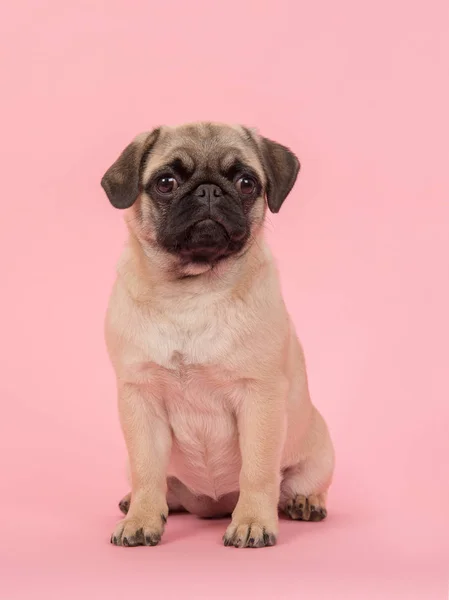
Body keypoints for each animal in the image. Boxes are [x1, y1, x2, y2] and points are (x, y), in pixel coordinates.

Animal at [100, 122, 332, 548]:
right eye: (166, 182)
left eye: (246, 182)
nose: (209, 190)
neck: (192, 292)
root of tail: (213, 505)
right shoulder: (139, 400)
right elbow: (147, 471)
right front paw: (141, 518)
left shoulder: (260, 398)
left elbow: (258, 470)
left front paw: (253, 522)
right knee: (163, 486)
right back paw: (140, 503)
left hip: (318, 451)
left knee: (297, 483)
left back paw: (305, 501)